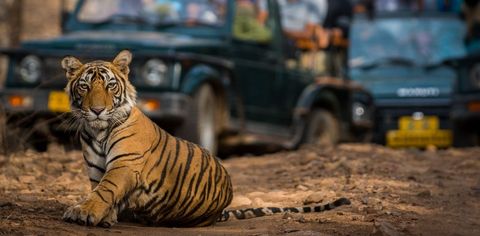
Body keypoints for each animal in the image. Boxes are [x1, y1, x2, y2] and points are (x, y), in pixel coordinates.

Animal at [62, 50, 350, 228]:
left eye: (110, 86)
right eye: (84, 86)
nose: (97, 110)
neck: (98, 131)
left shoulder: (125, 164)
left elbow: (105, 190)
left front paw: (83, 212)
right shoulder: (96, 168)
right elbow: (100, 190)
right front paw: (103, 216)